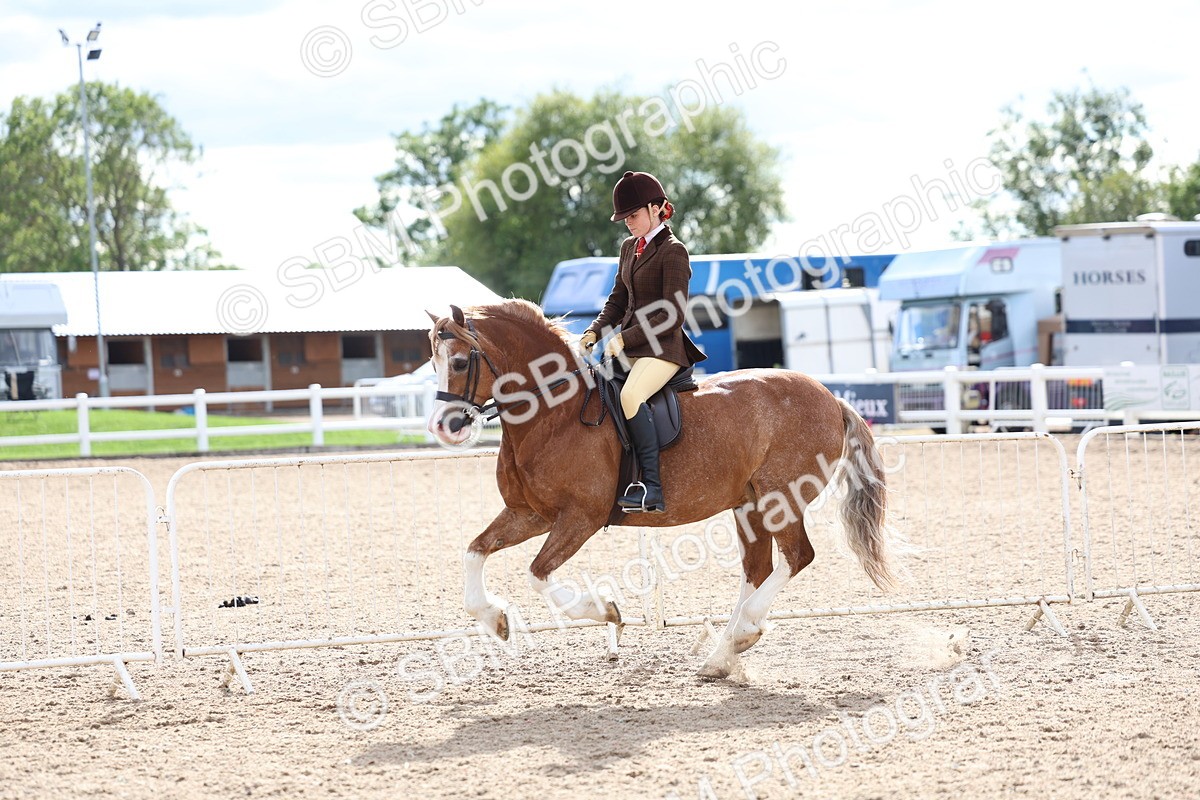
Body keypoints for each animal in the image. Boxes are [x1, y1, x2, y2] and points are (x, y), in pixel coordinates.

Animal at [426, 299, 906, 678]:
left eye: (461, 362)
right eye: (433, 363)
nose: (443, 427)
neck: (552, 414)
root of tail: (830, 396)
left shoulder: (580, 518)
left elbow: (537, 574)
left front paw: (606, 611)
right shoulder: (529, 514)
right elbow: (474, 551)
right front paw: (495, 619)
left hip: (780, 498)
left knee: (796, 558)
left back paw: (745, 632)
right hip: (748, 505)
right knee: (757, 570)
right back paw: (721, 657)